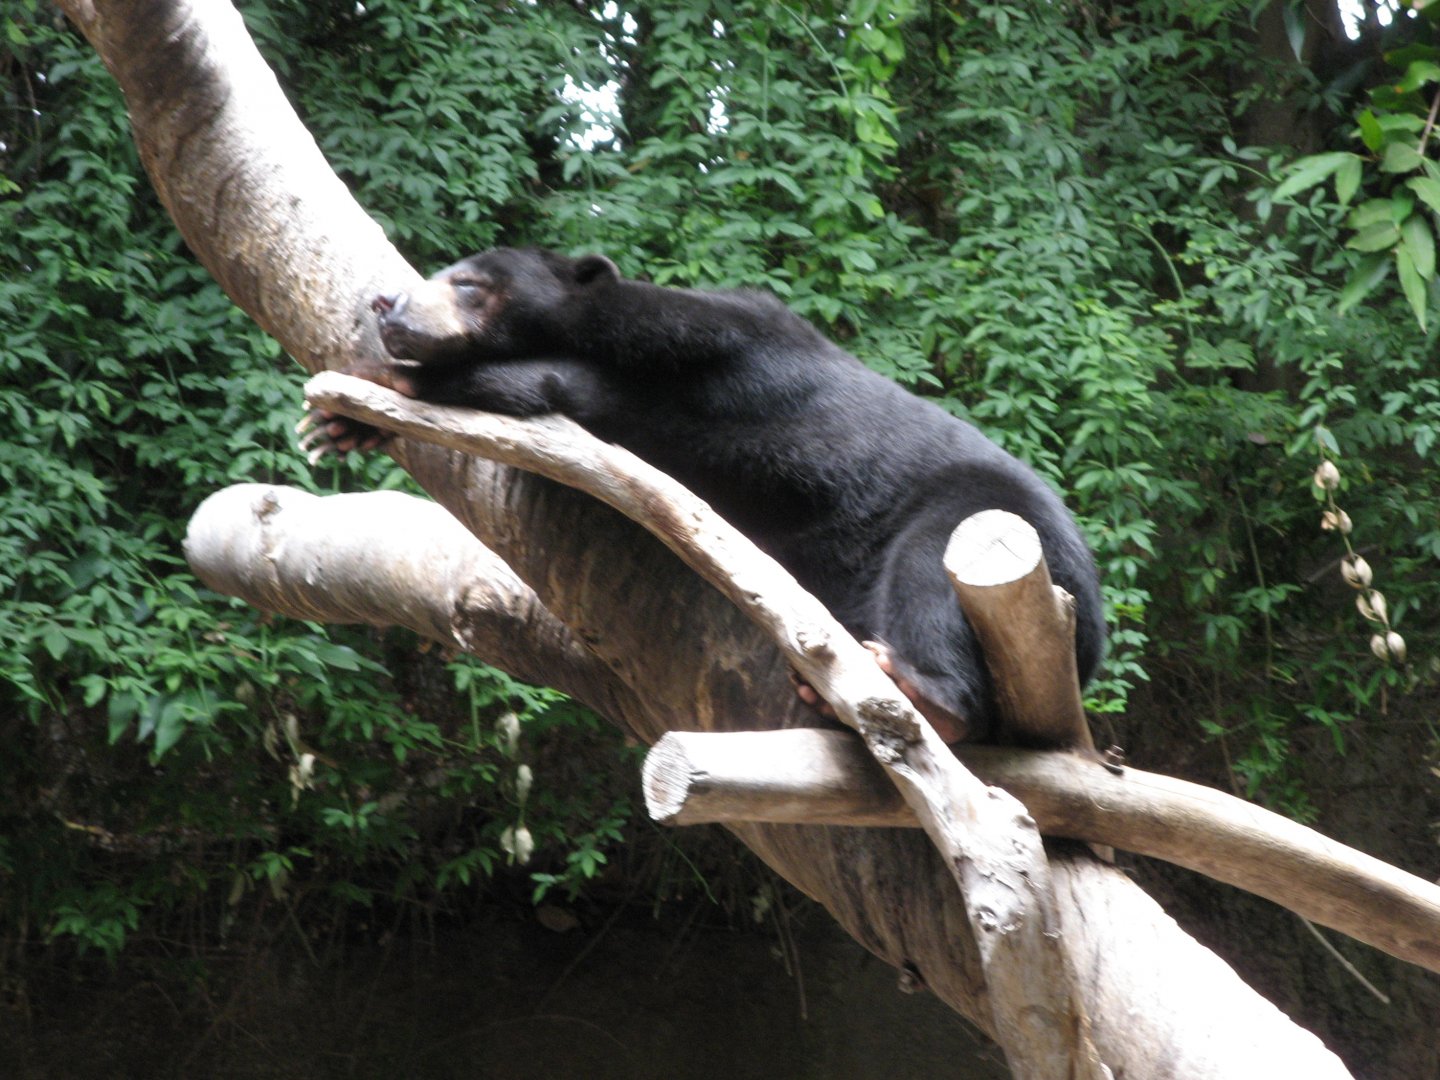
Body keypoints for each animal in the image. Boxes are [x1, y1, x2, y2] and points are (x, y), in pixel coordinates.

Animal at [302, 247, 1106, 746]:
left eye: (468, 281)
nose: (386, 302)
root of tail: (1091, 634)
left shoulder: (718, 348)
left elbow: (563, 377)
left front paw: (382, 383)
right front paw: (338, 422)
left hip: (986, 512)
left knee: (926, 567)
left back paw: (920, 691)